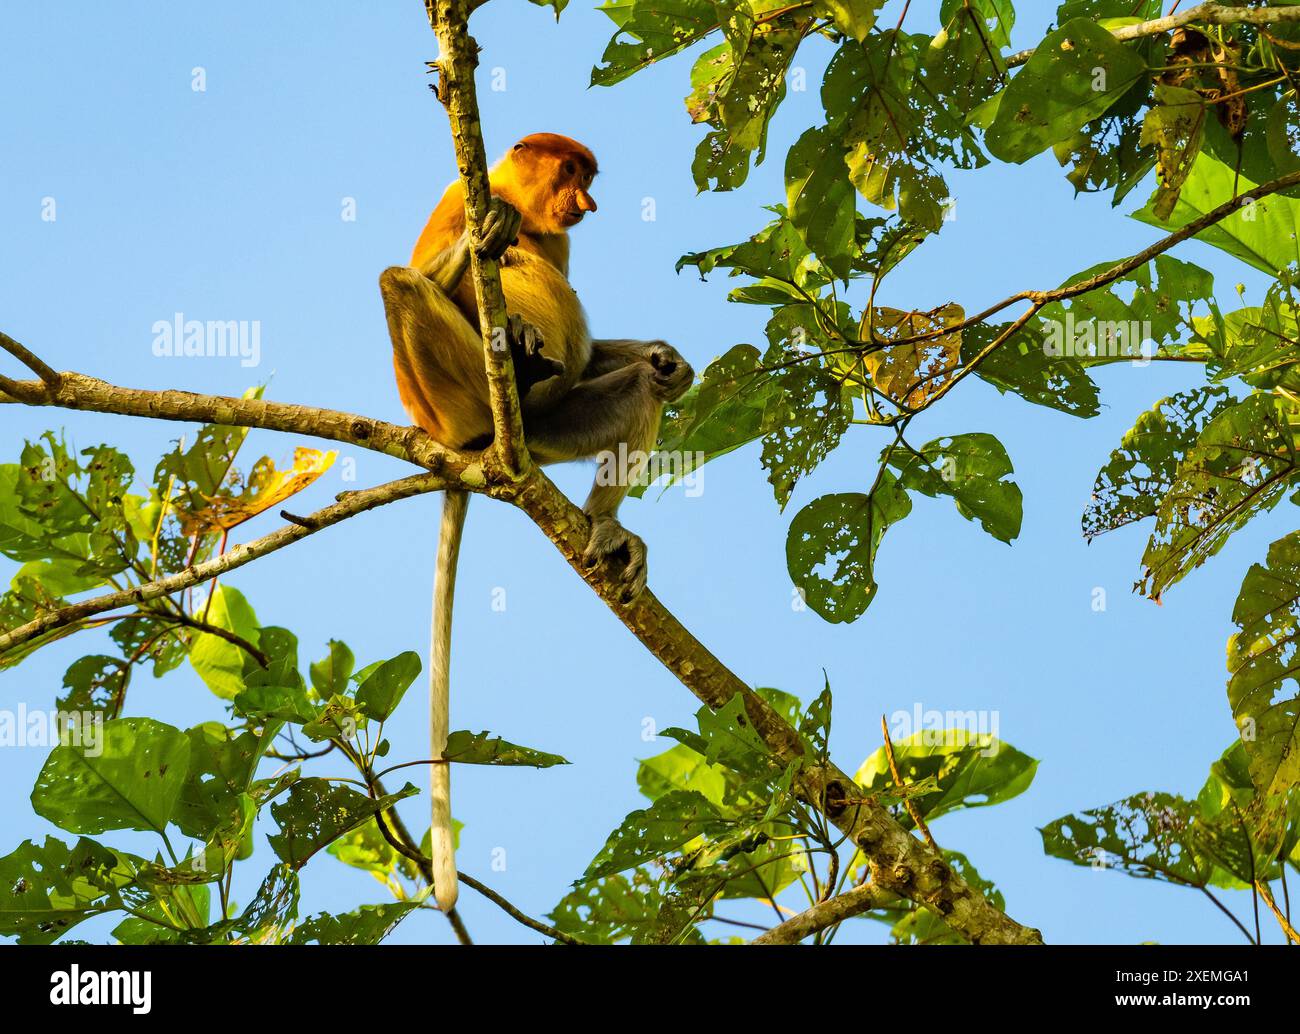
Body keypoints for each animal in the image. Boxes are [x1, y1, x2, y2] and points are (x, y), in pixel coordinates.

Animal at [378, 132, 693, 914]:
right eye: (573, 171)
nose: (588, 203)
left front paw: (667, 359)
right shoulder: (462, 192)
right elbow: (432, 259)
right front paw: (488, 235)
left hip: (550, 428)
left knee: (626, 390)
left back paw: (609, 528)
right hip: (453, 400)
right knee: (400, 283)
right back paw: (512, 367)